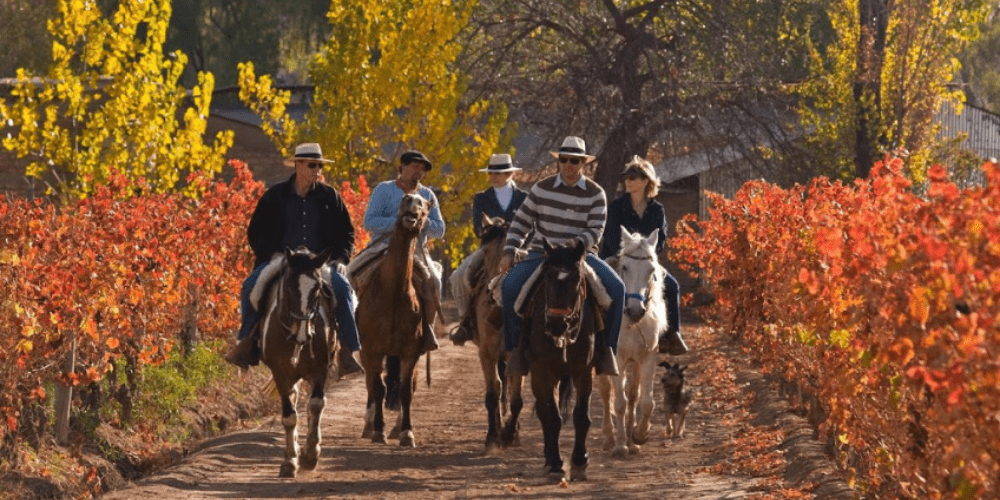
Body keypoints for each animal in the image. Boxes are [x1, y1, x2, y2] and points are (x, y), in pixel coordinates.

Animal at [258, 246, 340, 476]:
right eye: (289, 288)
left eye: (318, 288)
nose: (303, 334)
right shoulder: (280, 374)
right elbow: (289, 416)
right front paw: (289, 460)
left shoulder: (320, 369)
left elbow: (316, 404)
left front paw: (310, 453)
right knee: (294, 401)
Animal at [356, 193, 430, 448]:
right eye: (405, 199)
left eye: (425, 206)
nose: (412, 205)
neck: (393, 294)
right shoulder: (372, 349)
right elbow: (378, 388)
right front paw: (378, 430)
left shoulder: (410, 351)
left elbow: (406, 390)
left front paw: (407, 432)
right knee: (371, 384)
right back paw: (369, 425)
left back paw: (396, 428)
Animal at [498, 240, 592, 482]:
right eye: (548, 276)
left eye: (576, 278)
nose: (556, 324)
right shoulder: (543, 371)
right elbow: (552, 416)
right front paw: (557, 464)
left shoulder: (583, 370)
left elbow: (580, 415)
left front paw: (579, 461)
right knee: (543, 411)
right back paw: (549, 457)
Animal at [596, 228, 668, 458]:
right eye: (625, 267)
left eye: (651, 270)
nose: (636, 310)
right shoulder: (617, 358)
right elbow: (619, 402)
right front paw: (620, 445)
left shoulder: (647, 357)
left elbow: (645, 401)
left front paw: (638, 436)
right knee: (605, 393)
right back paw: (609, 438)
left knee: (634, 395)